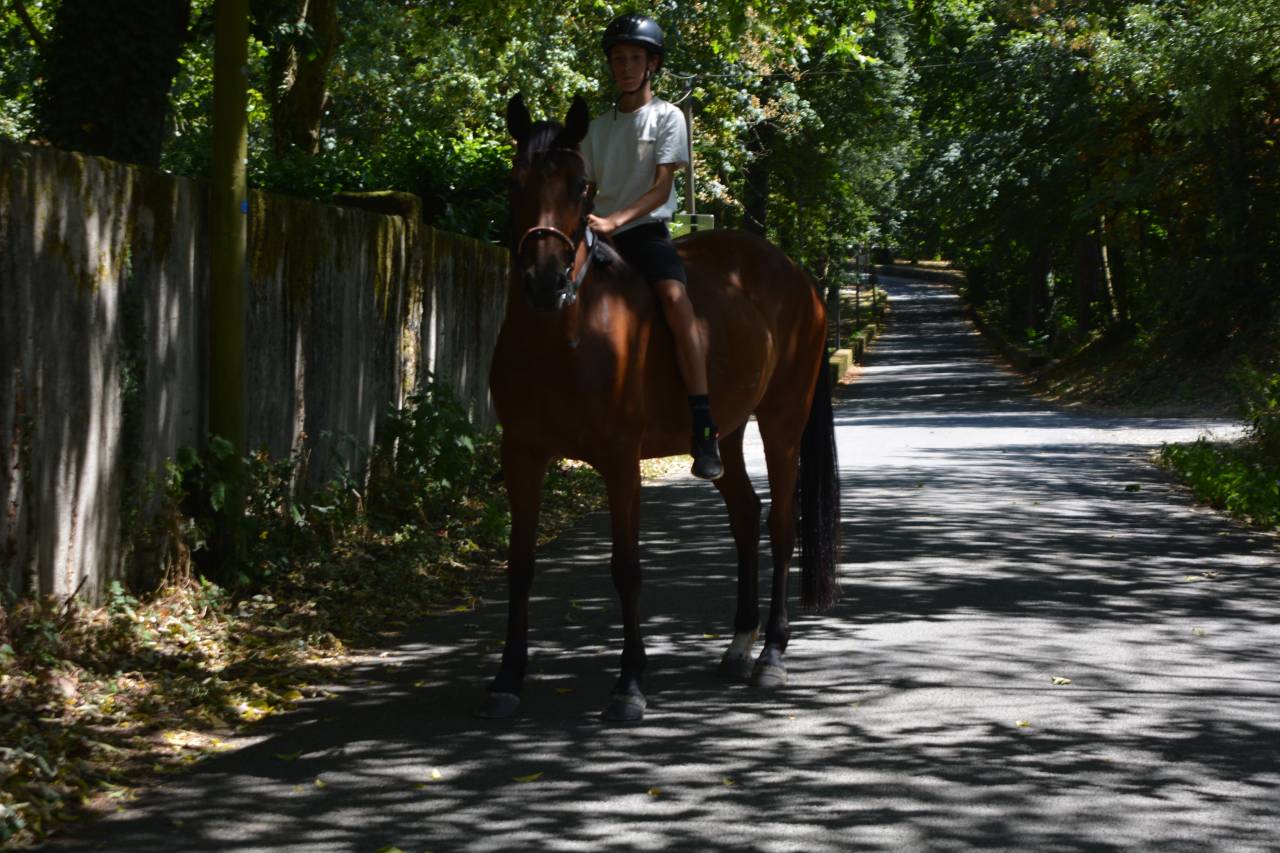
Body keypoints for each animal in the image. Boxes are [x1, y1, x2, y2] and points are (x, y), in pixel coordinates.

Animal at [482, 93, 840, 722]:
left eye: (581, 187)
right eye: (513, 181)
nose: (545, 280)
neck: (565, 334)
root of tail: (798, 275)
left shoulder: (621, 461)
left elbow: (626, 568)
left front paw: (629, 684)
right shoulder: (521, 454)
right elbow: (520, 564)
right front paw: (507, 678)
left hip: (783, 422)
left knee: (780, 523)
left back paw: (771, 654)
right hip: (725, 434)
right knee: (744, 514)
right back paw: (739, 644)